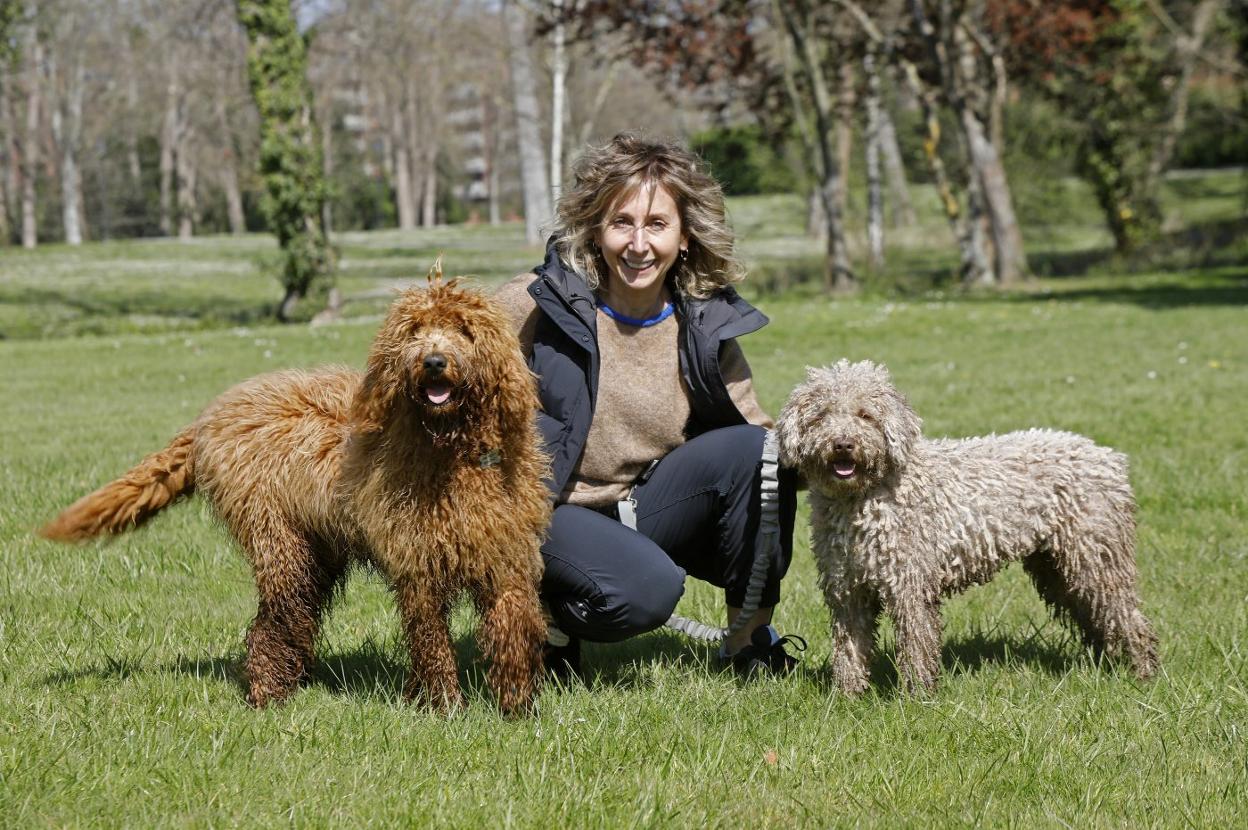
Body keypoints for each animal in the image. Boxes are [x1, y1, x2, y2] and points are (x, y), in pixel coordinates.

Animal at [41, 268, 549, 713]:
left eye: (464, 329)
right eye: (414, 330)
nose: (434, 362)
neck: (451, 449)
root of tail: (211, 415)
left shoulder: (505, 555)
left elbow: (512, 624)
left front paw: (516, 705)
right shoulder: (416, 564)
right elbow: (431, 641)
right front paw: (444, 706)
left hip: (317, 547)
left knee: (292, 617)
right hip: (278, 540)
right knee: (273, 621)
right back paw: (268, 693)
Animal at [778, 361, 1158, 693]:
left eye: (865, 415)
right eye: (821, 416)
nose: (843, 444)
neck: (864, 497)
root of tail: (1109, 458)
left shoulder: (910, 585)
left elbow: (916, 645)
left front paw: (917, 697)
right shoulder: (847, 589)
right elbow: (850, 648)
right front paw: (846, 696)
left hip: (1097, 556)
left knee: (1127, 616)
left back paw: (1144, 674)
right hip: (1055, 565)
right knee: (1095, 616)